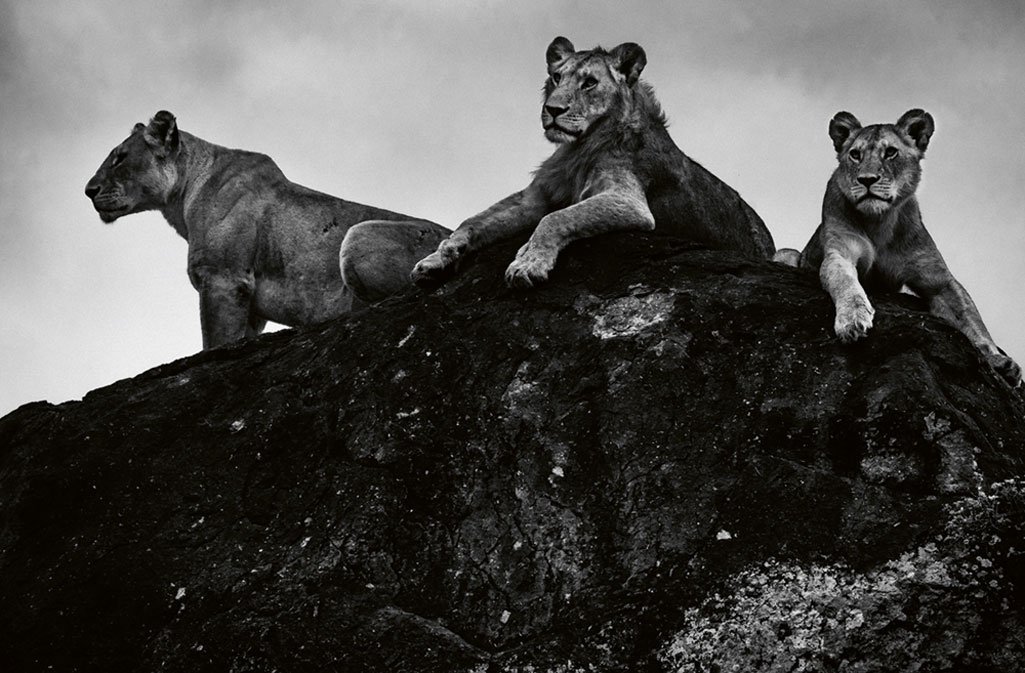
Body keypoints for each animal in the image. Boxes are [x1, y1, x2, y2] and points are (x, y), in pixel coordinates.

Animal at [85, 111, 449, 349]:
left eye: (120, 157)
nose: (88, 190)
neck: (181, 199)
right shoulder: (249, 303)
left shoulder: (224, 278)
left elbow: (215, 344)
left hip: (359, 235)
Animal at [338, 36, 773, 294]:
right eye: (556, 77)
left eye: (589, 82)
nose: (552, 110)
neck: (577, 149)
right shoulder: (537, 195)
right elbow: (472, 222)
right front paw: (437, 259)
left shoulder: (629, 200)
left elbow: (557, 219)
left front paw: (527, 263)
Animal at [773, 109, 1021, 385]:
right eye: (855, 154)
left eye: (890, 152)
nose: (867, 179)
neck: (879, 222)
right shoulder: (840, 253)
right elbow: (845, 283)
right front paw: (852, 321)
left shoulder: (939, 279)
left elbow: (971, 318)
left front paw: (998, 360)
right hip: (786, 254)